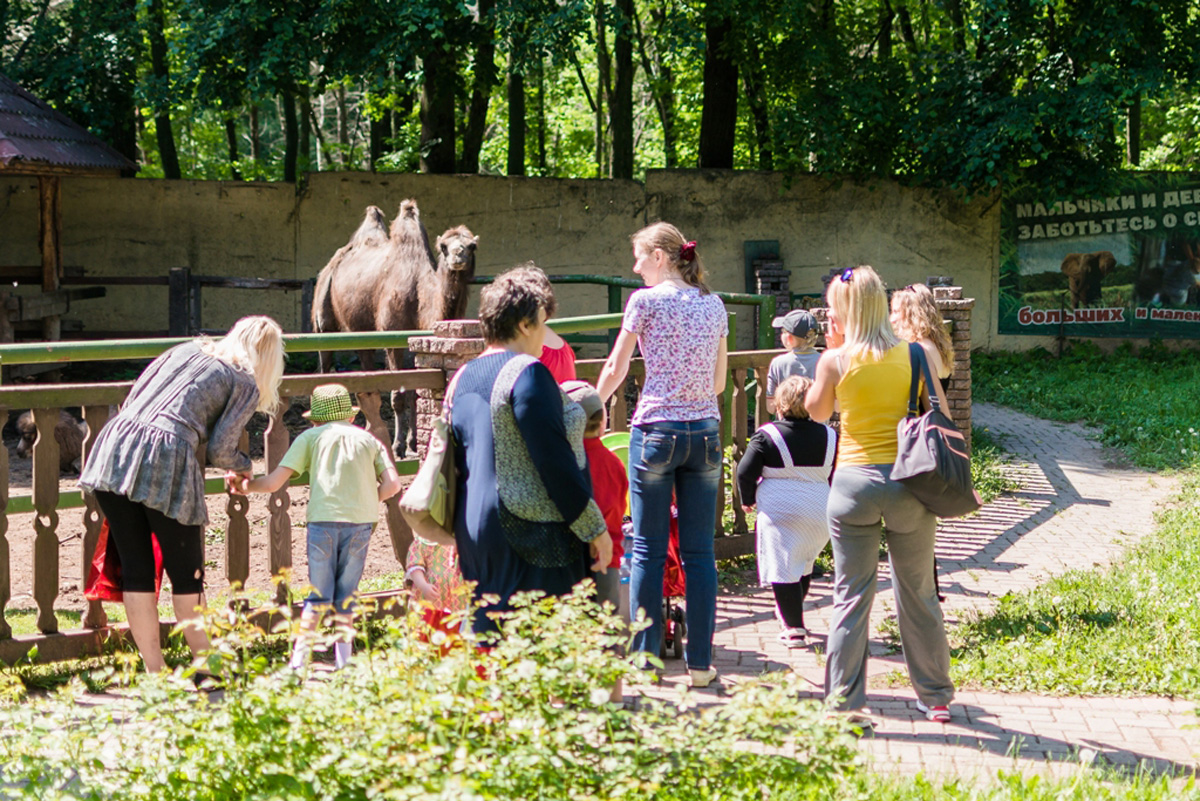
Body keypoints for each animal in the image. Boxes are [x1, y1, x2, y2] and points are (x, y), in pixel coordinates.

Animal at [314, 200, 477, 455]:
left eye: (472, 246)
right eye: (443, 246)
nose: (458, 256)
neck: (419, 296)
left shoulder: (414, 342)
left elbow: (415, 391)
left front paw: (412, 443)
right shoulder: (391, 338)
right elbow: (399, 394)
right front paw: (398, 446)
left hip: (361, 333)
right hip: (324, 314)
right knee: (325, 360)